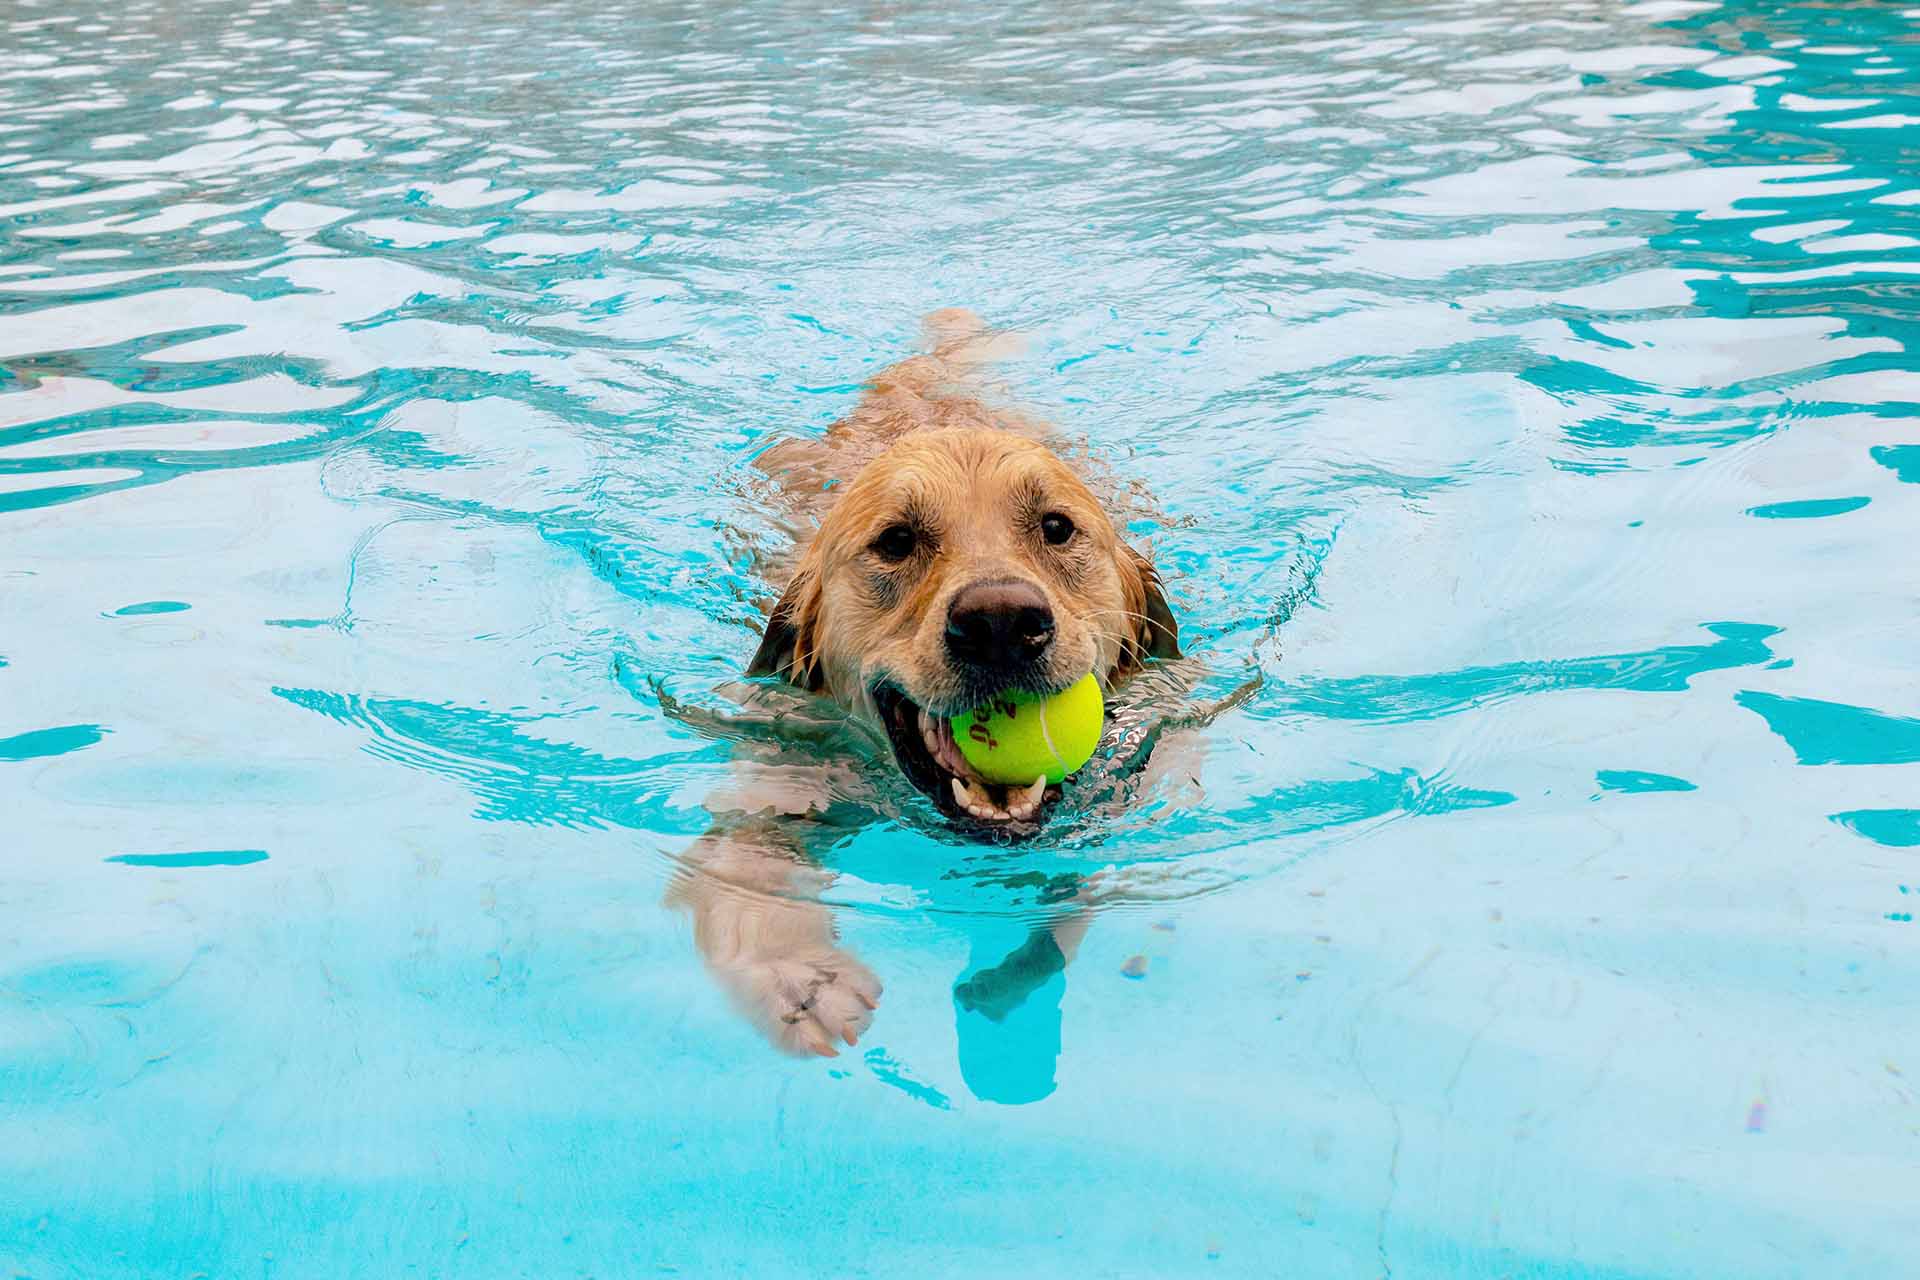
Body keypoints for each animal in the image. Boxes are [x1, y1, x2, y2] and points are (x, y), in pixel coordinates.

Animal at [675, 312, 1182, 1059]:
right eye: (895, 540)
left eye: (1056, 527)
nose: (1000, 622)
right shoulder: (782, 764)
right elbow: (743, 859)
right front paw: (799, 975)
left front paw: (1012, 982)